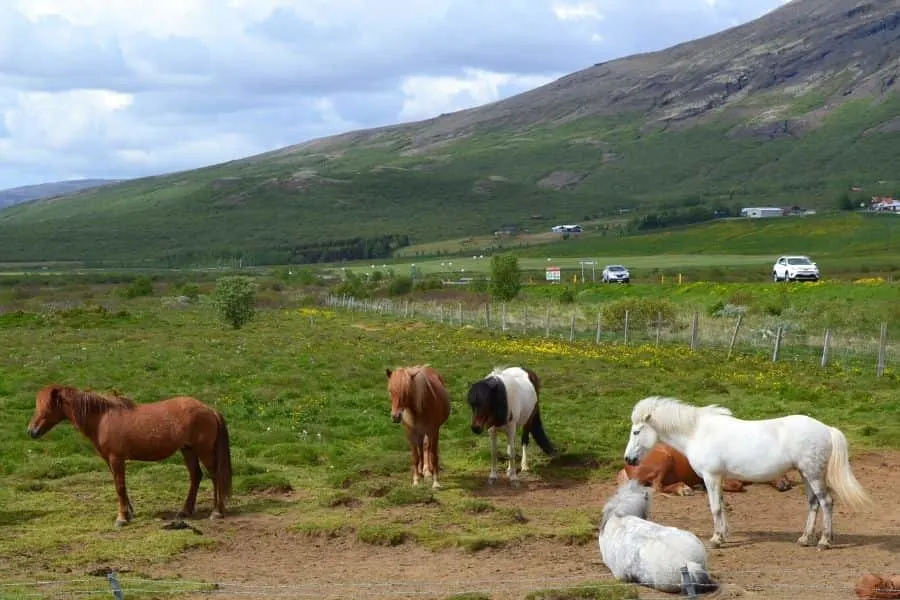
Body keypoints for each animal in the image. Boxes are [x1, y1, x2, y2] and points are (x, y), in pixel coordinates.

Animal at [28, 386, 234, 528]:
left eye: (46, 407)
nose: (31, 431)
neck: (103, 418)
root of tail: (208, 409)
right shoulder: (110, 461)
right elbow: (119, 487)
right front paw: (128, 512)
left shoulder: (116, 459)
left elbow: (120, 487)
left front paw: (122, 518)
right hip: (187, 450)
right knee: (196, 476)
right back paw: (185, 511)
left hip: (203, 451)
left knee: (214, 476)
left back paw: (217, 512)